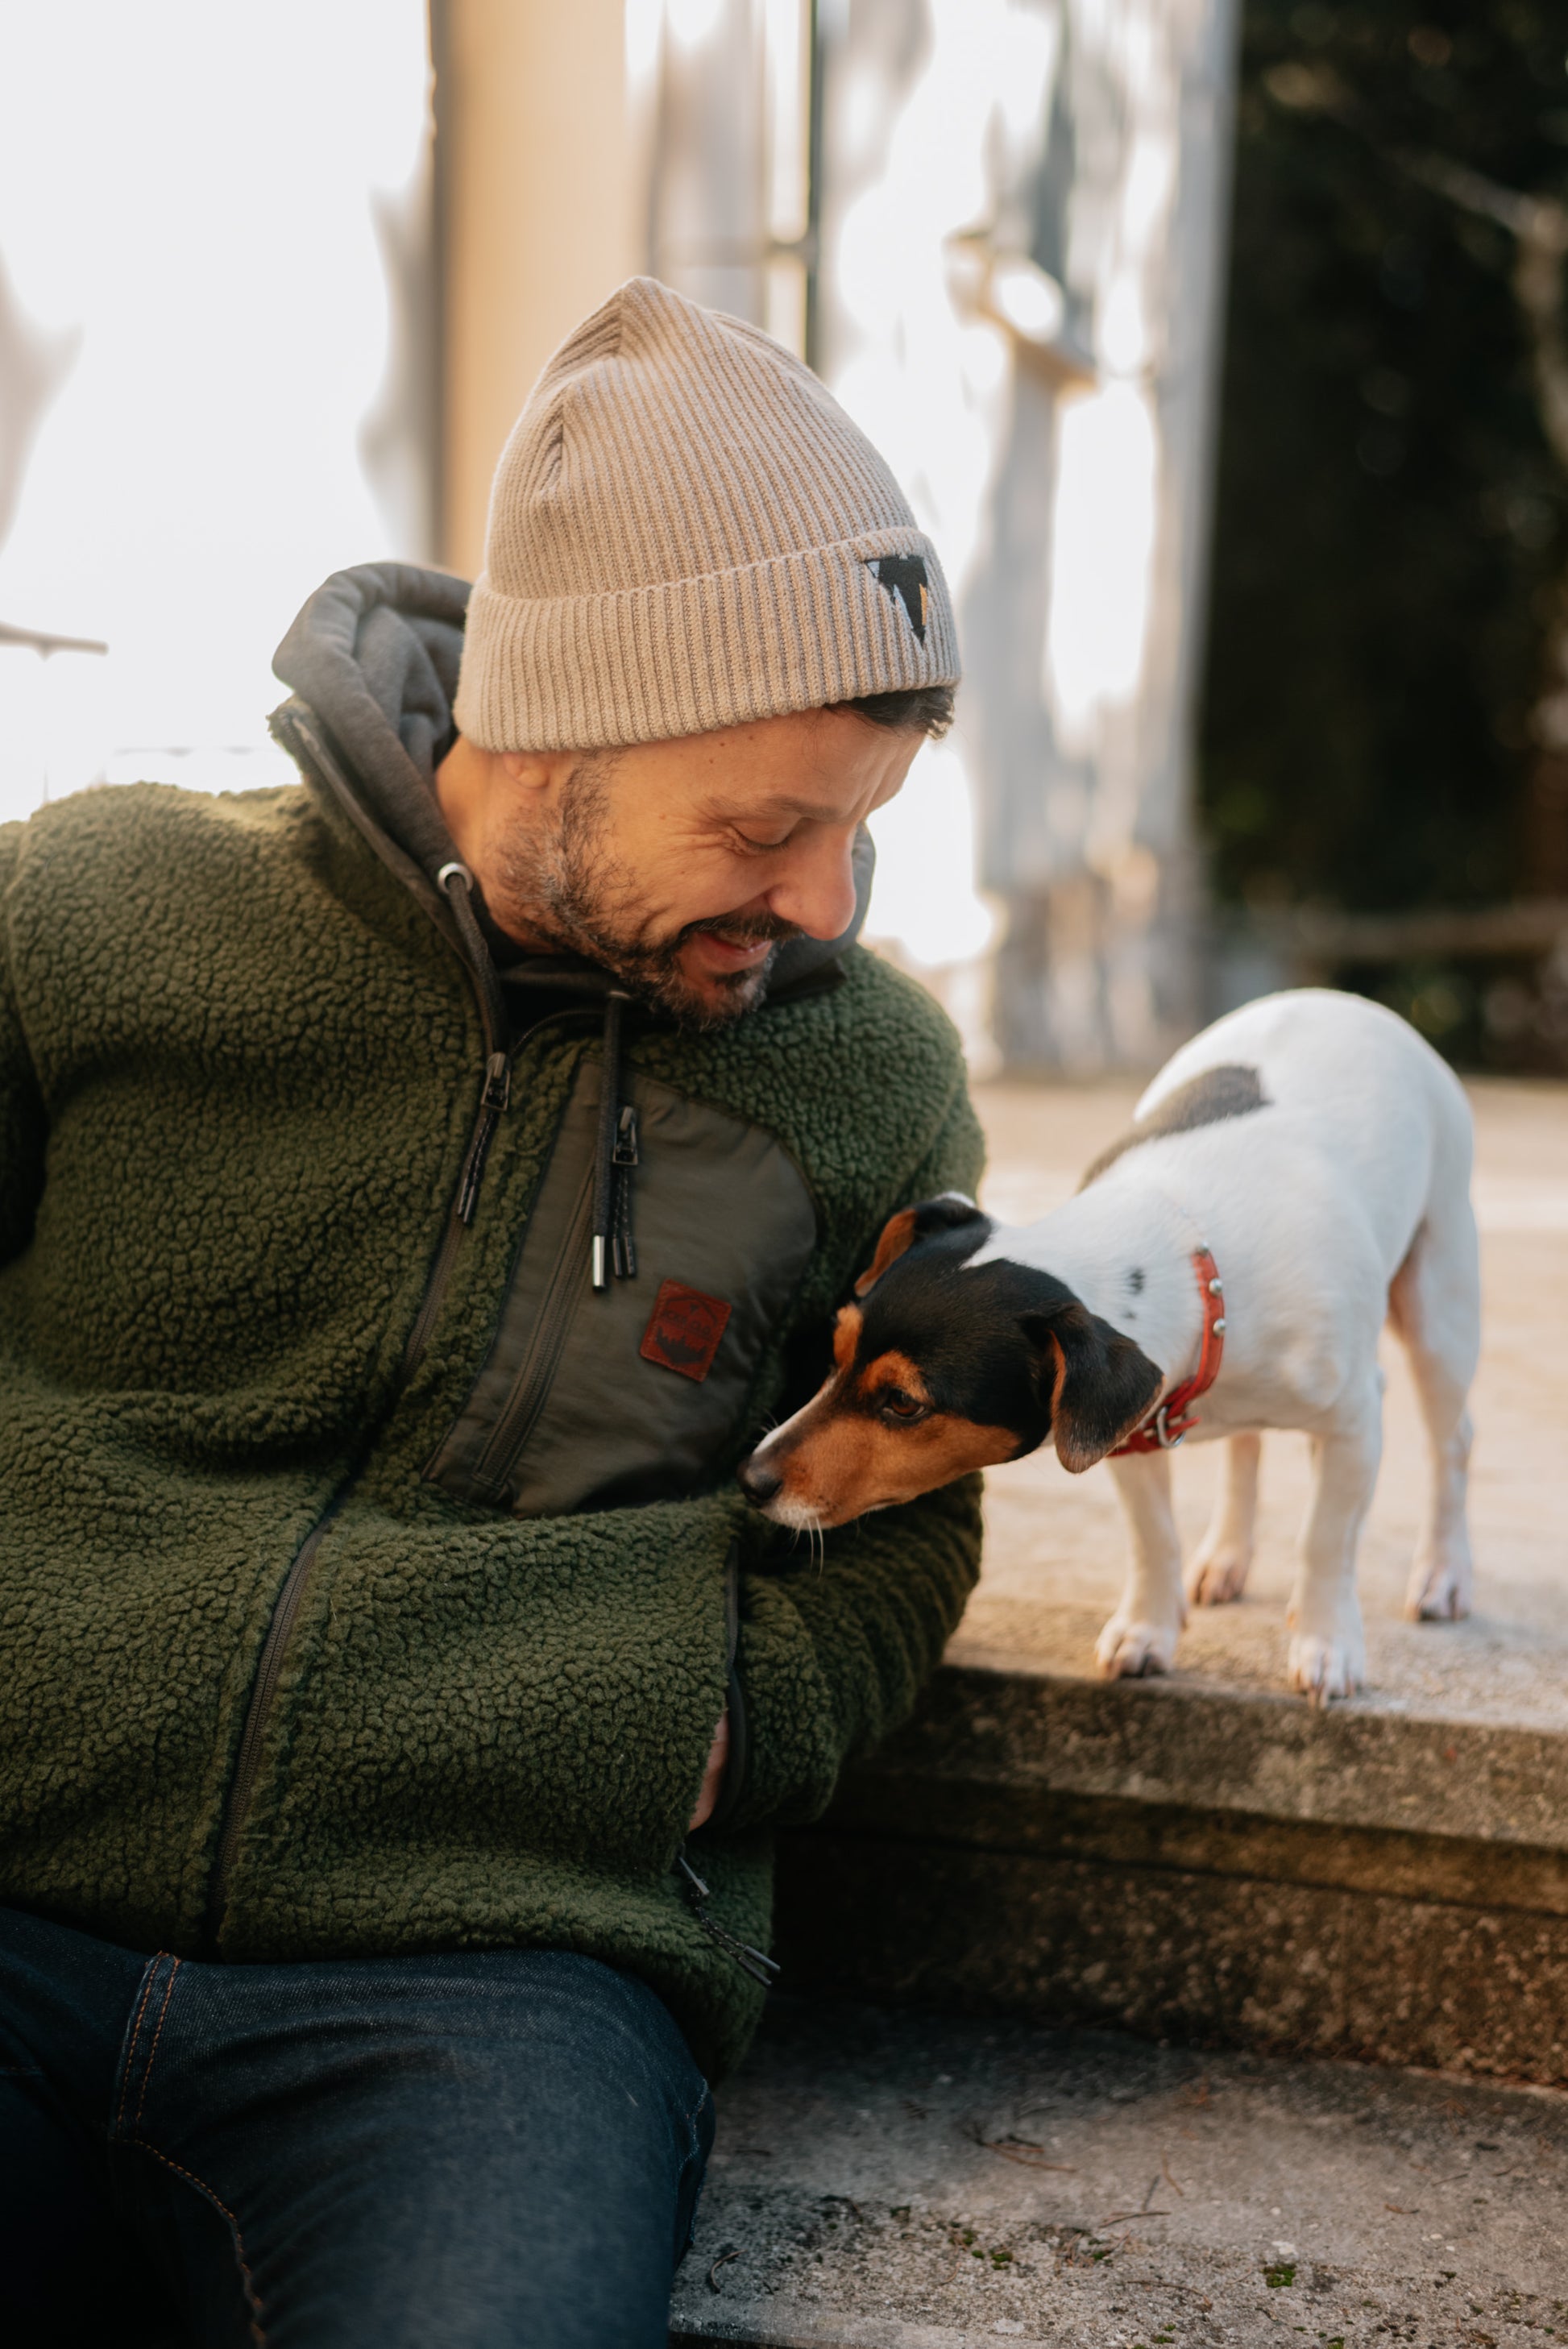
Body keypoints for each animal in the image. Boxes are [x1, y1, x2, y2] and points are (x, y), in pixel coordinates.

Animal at [741, 991, 1474, 1710]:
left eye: (902, 1402)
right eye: (835, 1352)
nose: (749, 1479)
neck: (1189, 1258)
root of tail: (1344, 998)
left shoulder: (1355, 1420)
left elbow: (1325, 1540)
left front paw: (1326, 1643)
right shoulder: (1130, 1431)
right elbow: (1154, 1536)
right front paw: (1149, 1628)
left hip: (1441, 1305)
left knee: (1451, 1443)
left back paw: (1443, 1573)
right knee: (1247, 1447)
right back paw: (1227, 1555)